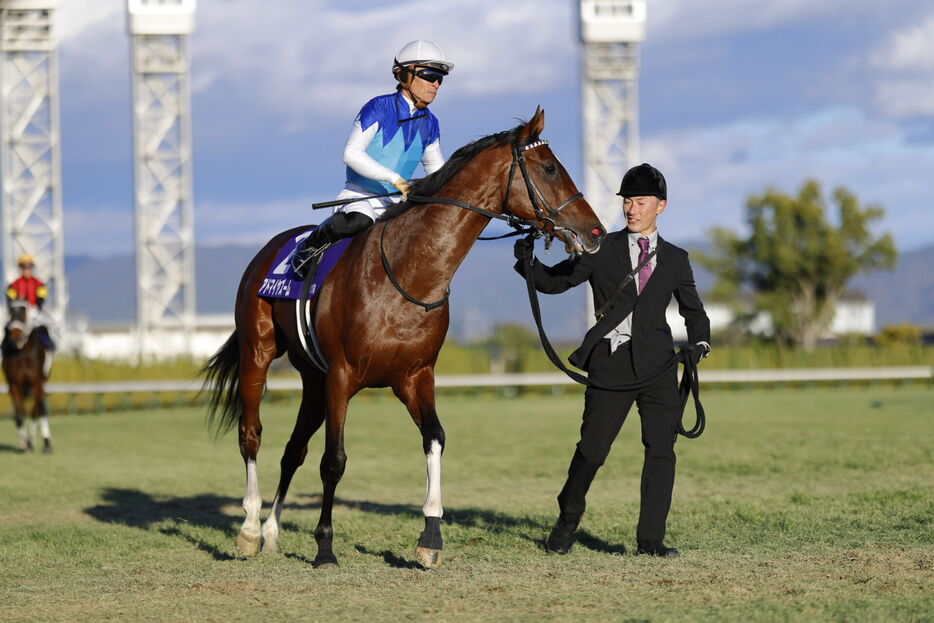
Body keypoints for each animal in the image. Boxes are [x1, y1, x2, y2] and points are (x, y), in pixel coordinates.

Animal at [2, 298, 52, 450]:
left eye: (24, 313)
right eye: (10, 313)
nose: (15, 338)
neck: (22, 352)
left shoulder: (37, 384)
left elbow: (35, 412)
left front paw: (30, 442)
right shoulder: (14, 385)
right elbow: (19, 414)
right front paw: (23, 444)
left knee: (39, 410)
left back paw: (45, 444)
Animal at [200, 109, 604, 568]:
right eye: (550, 167)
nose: (595, 232)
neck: (408, 272)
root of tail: (270, 247)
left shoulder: (414, 375)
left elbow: (435, 438)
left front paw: (430, 537)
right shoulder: (342, 375)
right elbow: (333, 461)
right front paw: (325, 547)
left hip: (313, 379)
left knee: (293, 449)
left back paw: (270, 531)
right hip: (260, 352)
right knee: (251, 433)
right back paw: (250, 528)